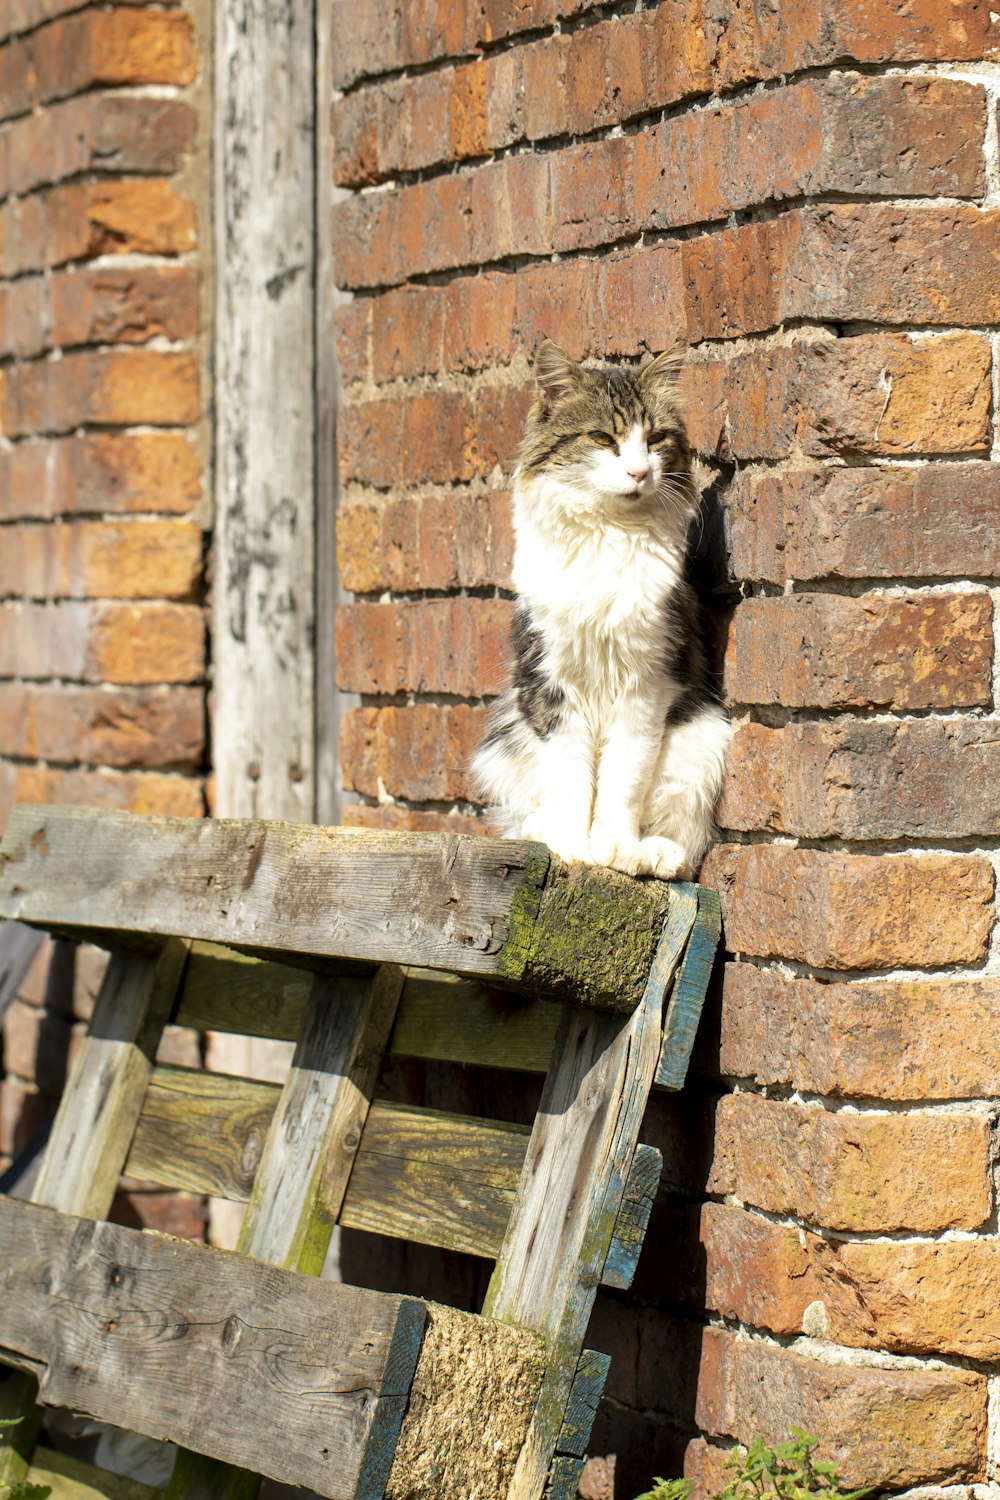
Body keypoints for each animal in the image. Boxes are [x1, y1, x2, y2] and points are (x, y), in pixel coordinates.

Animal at [473, 340, 731, 876]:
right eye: (601, 438)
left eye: (655, 438)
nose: (639, 472)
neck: (607, 533)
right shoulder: (551, 686)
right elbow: (571, 782)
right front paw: (570, 845)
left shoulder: (647, 686)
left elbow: (622, 783)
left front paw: (616, 848)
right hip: (507, 735)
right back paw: (543, 832)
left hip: (703, 737)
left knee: (679, 834)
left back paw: (655, 854)